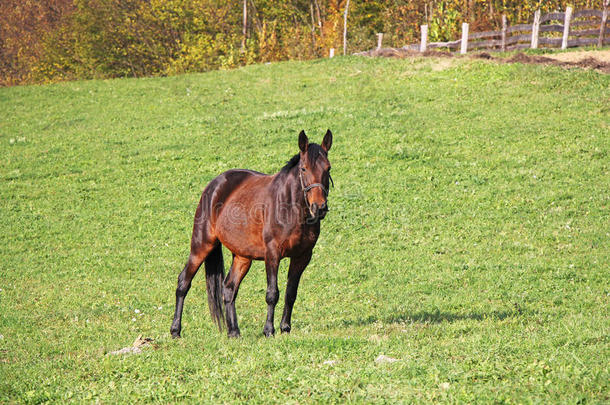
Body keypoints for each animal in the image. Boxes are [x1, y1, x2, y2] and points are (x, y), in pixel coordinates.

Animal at [170, 130, 332, 338]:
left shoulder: (302, 256)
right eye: (304, 169)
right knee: (184, 282)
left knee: (229, 288)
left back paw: (234, 332)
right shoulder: (273, 254)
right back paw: (175, 330)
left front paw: (285, 328)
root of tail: (214, 185)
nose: (319, 207)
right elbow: (272, 293)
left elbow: (291, 293)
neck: (289, 206)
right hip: (202, 245)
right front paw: (269, 330)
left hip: (242, 257)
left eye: (328, 168)